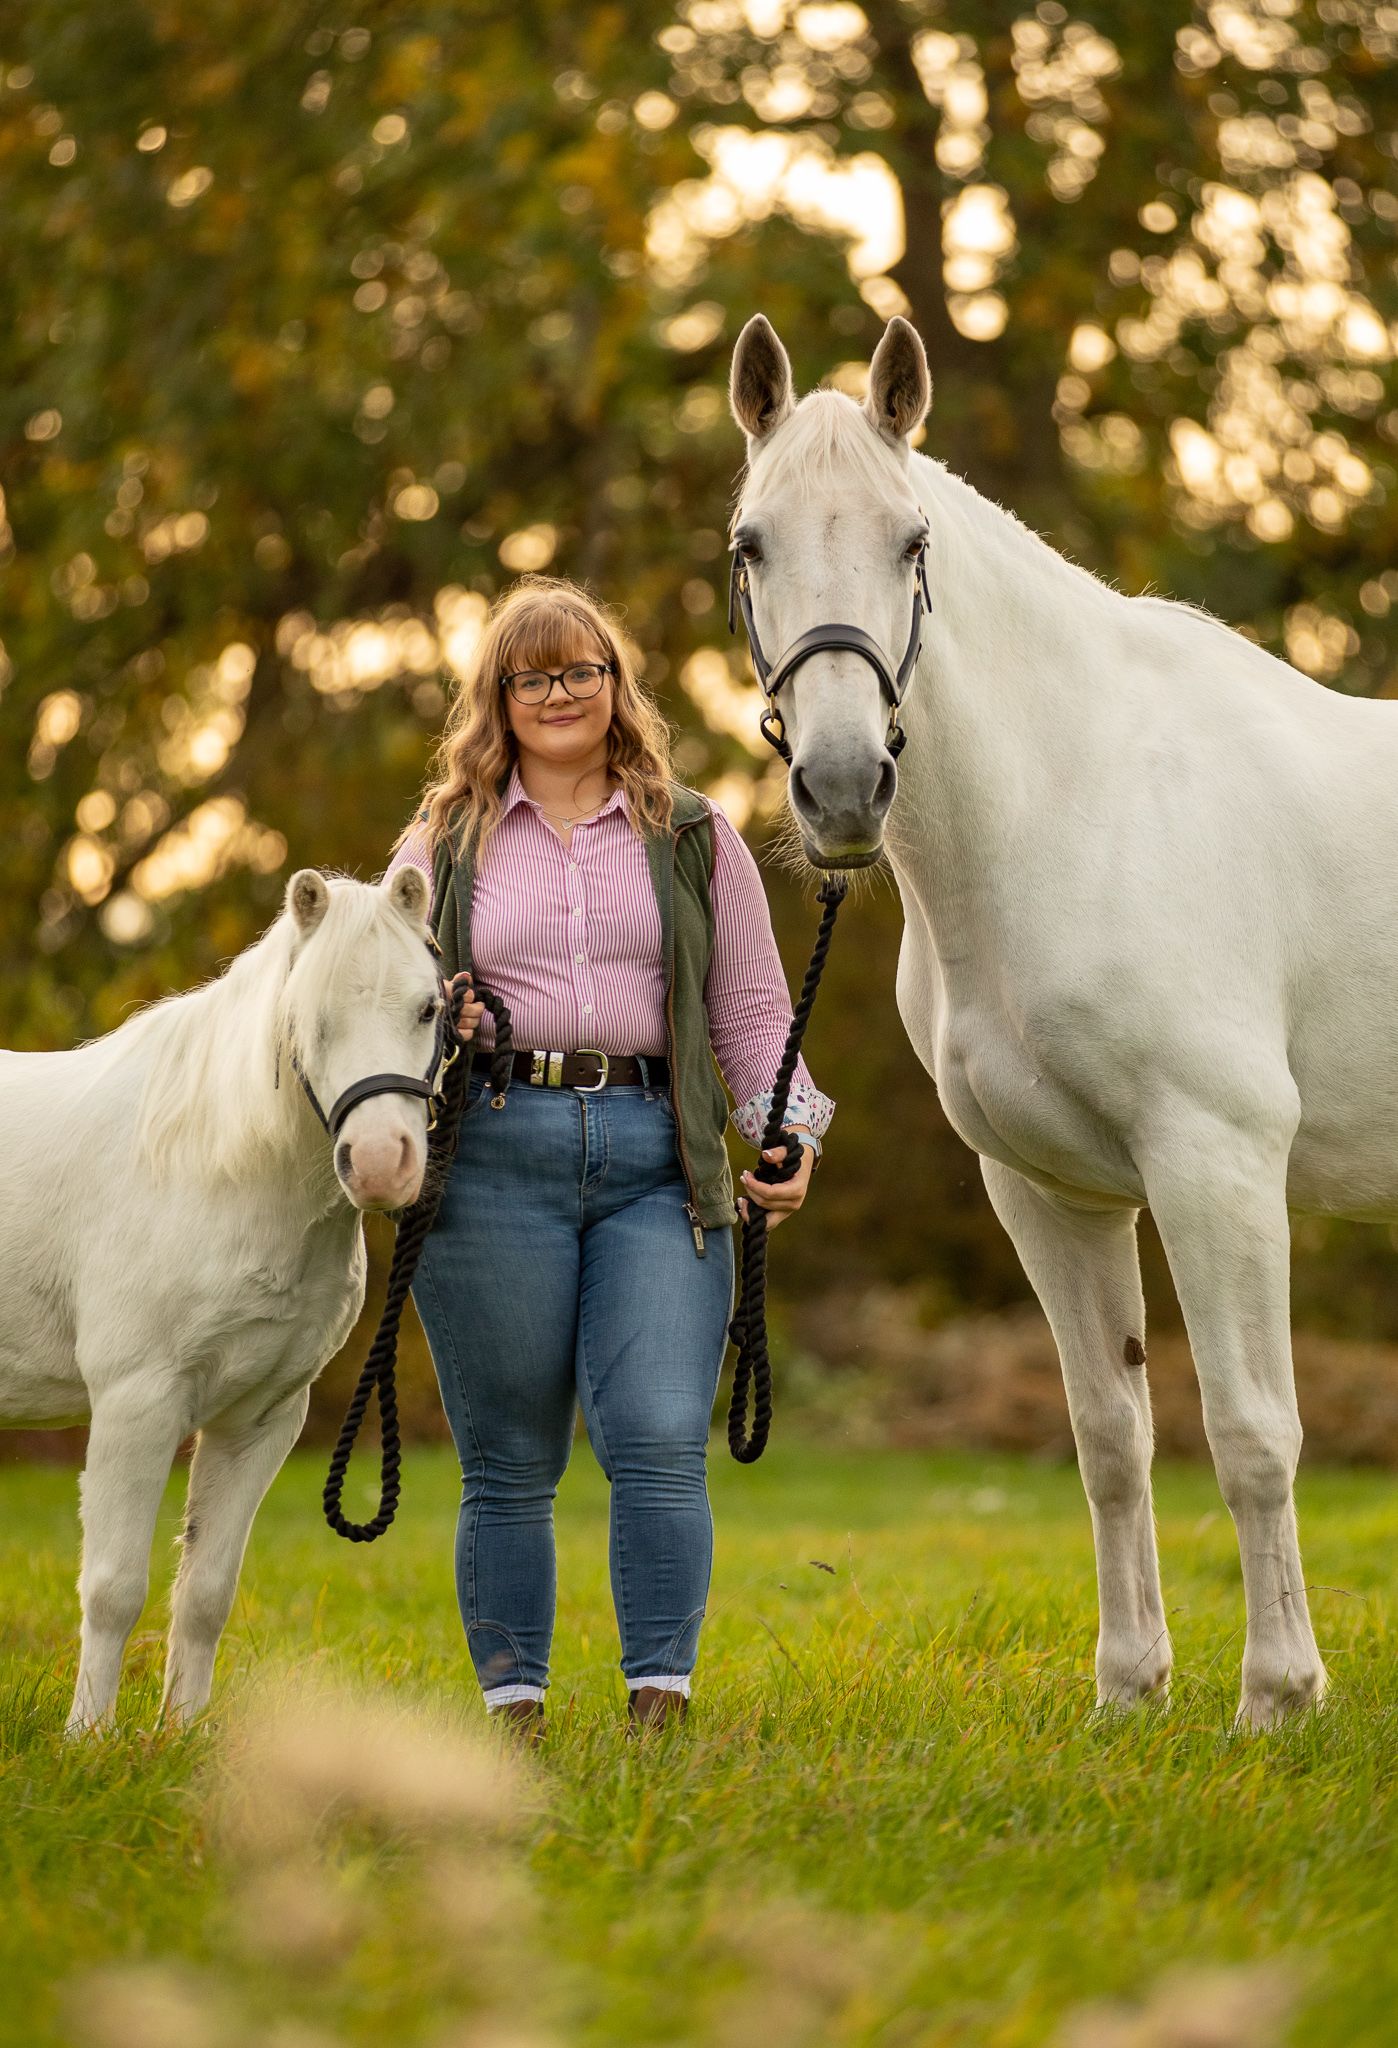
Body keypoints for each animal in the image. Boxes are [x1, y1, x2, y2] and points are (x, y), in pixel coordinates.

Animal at [0, 864, 445, 1732]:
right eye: (313, 1019)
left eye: (429, 1009)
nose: (381, 1163)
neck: (209, 1168)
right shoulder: (136, 1405)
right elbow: (113, 1590)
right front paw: (89, 1739)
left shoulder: (259, 1420)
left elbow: (205, 1593)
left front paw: (177, 1736)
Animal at [727, 312, 1398, 1728]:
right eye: (751, 543)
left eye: (911, 541)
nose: (843, 786)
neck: (1076, 800)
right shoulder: (1051, 1190)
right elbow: (1109, 1434)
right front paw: (1129, 1692)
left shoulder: (1216, 1162)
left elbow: (1253, 1433)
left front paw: (1276, 1700)